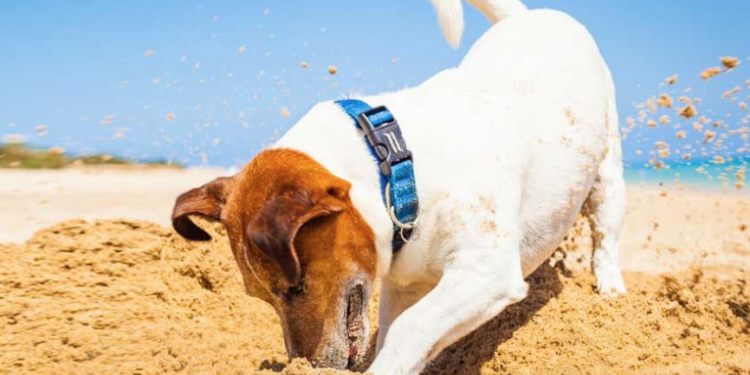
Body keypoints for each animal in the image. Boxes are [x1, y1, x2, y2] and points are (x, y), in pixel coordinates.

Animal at [172, 0, 628, 375]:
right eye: (263, 297)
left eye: (295, 288)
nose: (305, 366)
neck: (397, 172)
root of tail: (529, 16)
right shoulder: (403, 286)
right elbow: (400, 337)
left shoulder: (487, 272)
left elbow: (411, 330)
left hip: (608, 172)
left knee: (606, 238)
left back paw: (611, 295)